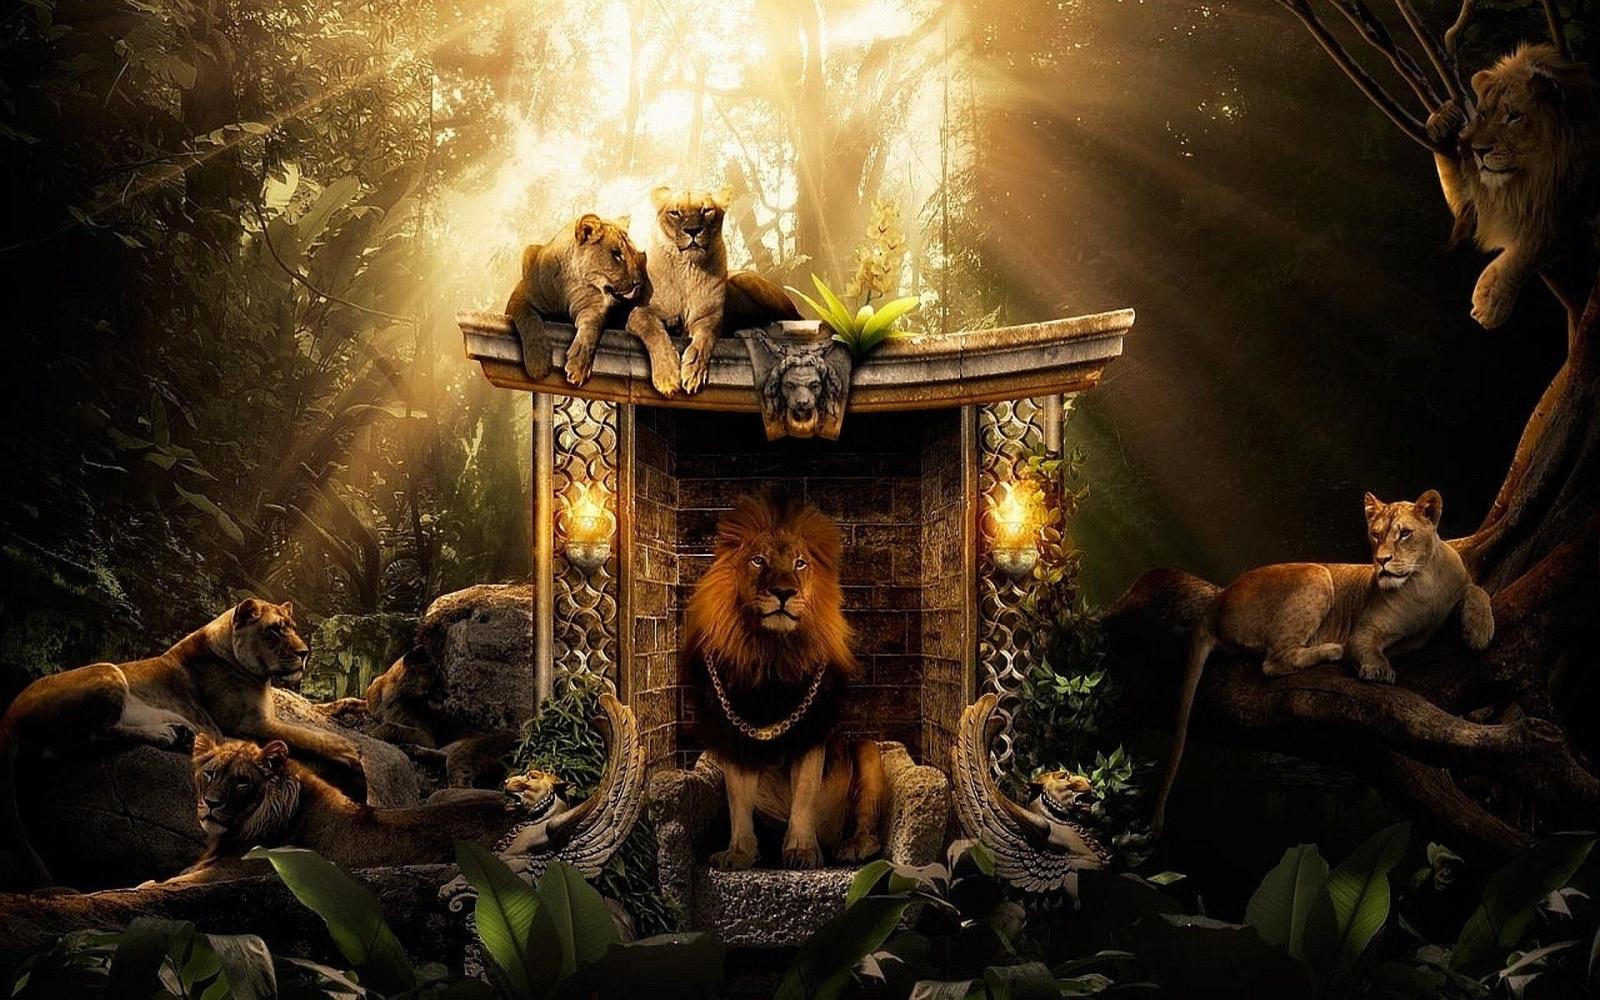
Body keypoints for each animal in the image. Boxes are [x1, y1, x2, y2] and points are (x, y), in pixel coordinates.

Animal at [0, 599, 365, 885]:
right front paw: (351, 753)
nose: (304, 654)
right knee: (98, 733)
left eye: (292, 627)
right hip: (108, 671)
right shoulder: (248, 724)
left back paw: (178, 732)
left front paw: (352, 706)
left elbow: (314, 713)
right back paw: (170, 734)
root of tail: (8, 716)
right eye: (274, 630)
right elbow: (311, 735)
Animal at [505, 213, 647, 387]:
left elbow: (590, 329)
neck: (568, 286)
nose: (638, 282)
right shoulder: (519, 298)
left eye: (633, 254)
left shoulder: (592, 307)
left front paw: (578, 366)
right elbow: (529, 320)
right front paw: (538, 364)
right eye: (617, 255)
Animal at [680, 495, 886, 870]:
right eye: (758, 561)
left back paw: (853, 846)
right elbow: (738, 802)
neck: (771, 655)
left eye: (800, 563)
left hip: (867, 751)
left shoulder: (810, 733)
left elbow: (804, 794)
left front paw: (802, 850)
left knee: (867, 825)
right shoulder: (735, 739)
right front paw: (740, 853)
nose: (783, 592)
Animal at [1149, 490, 1494, 830]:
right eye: (1375, 534)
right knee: (1274, 661)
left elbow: (1478, 592)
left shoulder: (1459, 587)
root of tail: (1217, 602)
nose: (1381, 561)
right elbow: (1365, 647)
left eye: (1405, 534)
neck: (1421, 583)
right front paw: (1376, 668)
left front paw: (1480, 631)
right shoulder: (1364, 630)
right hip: (1317, 572)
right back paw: (1332, 649)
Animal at [1426, 44, 1598, 329]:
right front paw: (1443, 117)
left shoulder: (1574, 212)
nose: (1478, 151)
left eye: (1514, 117)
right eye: (1483, 114)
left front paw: (1490, 299)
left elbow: (1535, 243)